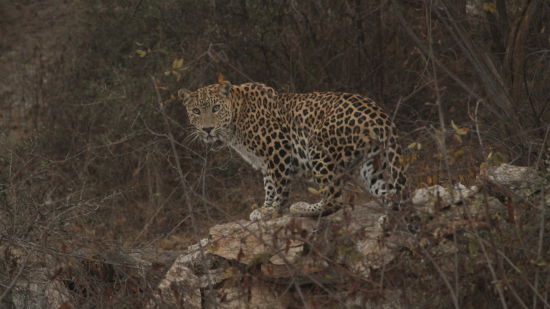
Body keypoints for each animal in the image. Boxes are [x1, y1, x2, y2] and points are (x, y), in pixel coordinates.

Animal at [179, 79, 408, 219]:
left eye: (216, 108)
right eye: (196, 111)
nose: (207, 129)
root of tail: (380, 115)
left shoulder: (277, 148)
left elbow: (279, 184)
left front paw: (273, 211)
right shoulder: (265, 161)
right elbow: (269, 184)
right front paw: (265, 208)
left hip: (318, 150)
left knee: (335, 198)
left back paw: (303, 208)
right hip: (368, 166)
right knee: (391, 193)